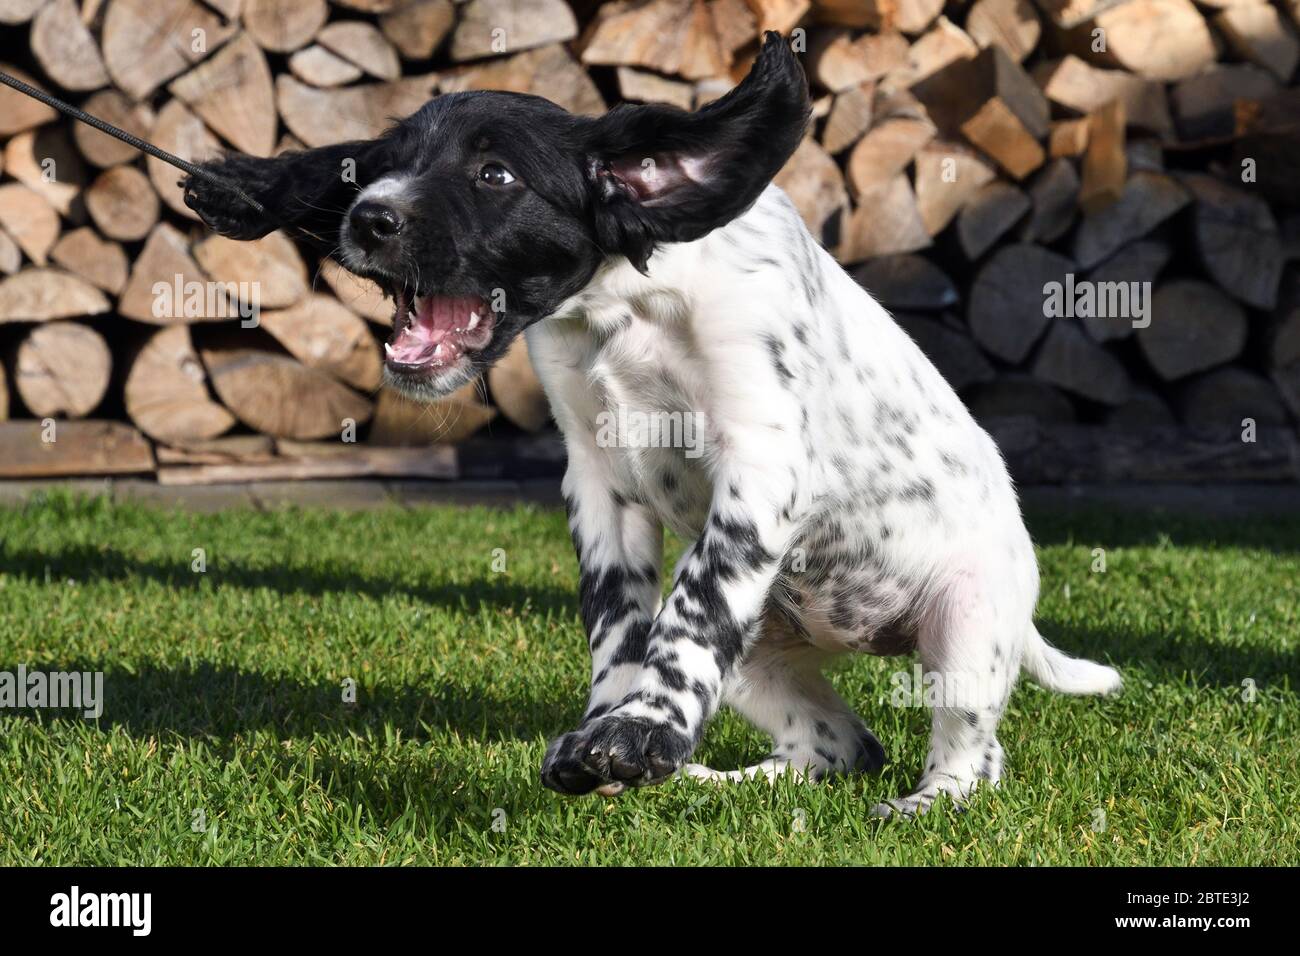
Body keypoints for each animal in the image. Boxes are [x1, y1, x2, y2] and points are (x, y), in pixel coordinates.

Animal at [185, 33, 1118, 816]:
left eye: (495, 176)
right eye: (378, 167)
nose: (368, 217)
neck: (628, 313)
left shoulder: (760, 465)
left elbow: (692, 608)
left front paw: (641, 732)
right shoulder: (598, 480)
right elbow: (619, 619)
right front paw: (610, 734)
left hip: (966, 625)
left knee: (972, 754)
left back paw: (924, 805)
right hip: (764, 657)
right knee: (840, 746)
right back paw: (719, 781)